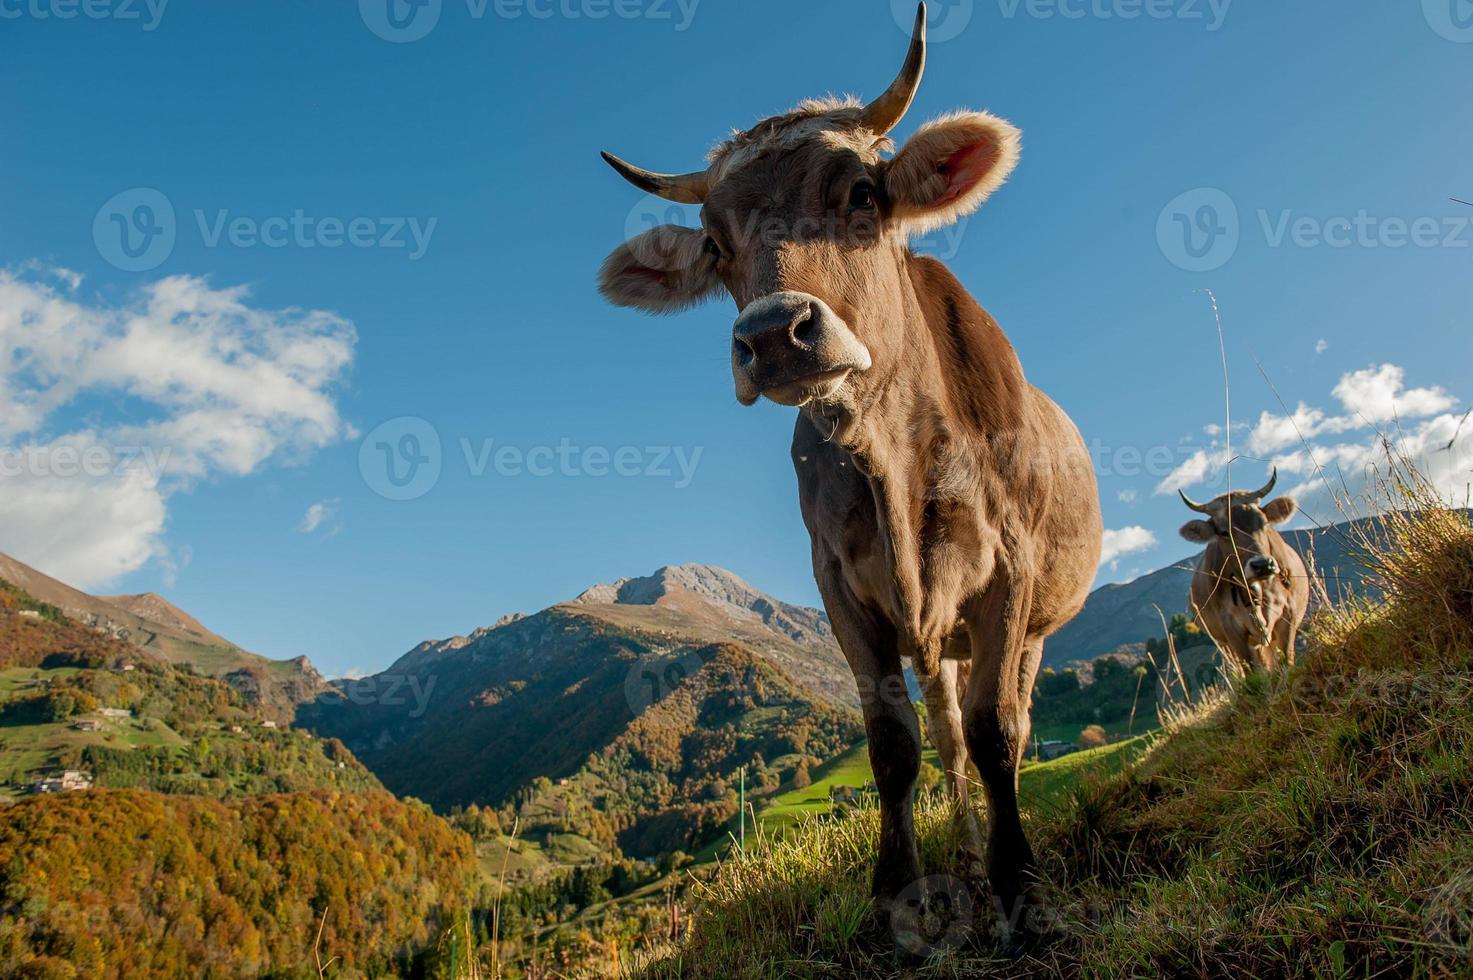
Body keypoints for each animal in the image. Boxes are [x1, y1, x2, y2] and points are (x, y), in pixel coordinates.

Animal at [592, 3, 1101, 937]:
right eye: (713, 243)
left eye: (862, 193)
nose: (770, 335)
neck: (895, 455)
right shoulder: (839, 582)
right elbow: (894, 744)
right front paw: (899, 893)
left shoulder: (1008, 572)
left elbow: (997, 732)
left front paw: (1018, 882)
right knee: (945, 731)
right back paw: (963, 854)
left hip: (1033, 624)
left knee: (1002, 718)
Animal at [1178, 468, 1308, 672]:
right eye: (1224, 532)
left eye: (1264, 523)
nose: (1262, 565)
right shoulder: (1231, 629)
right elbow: (1251, 672)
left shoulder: (1288, 614)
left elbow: (1287, 661)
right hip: (1224, 644)